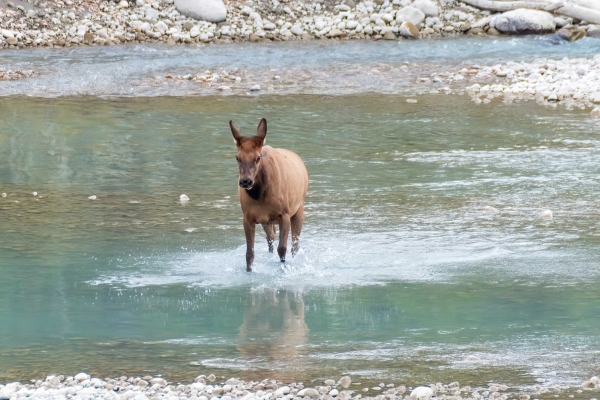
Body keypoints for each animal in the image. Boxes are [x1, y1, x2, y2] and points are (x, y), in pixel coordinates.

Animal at [230, 117, 310, 270]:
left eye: (258, 157)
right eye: (237, 157)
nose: (245, 182)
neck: (260, 195)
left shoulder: (284, 214)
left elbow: (282, 249)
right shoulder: (248, 217)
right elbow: (249, 254)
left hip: (299, 209)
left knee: (295, 246)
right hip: (267, 221)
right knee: (271, 239)